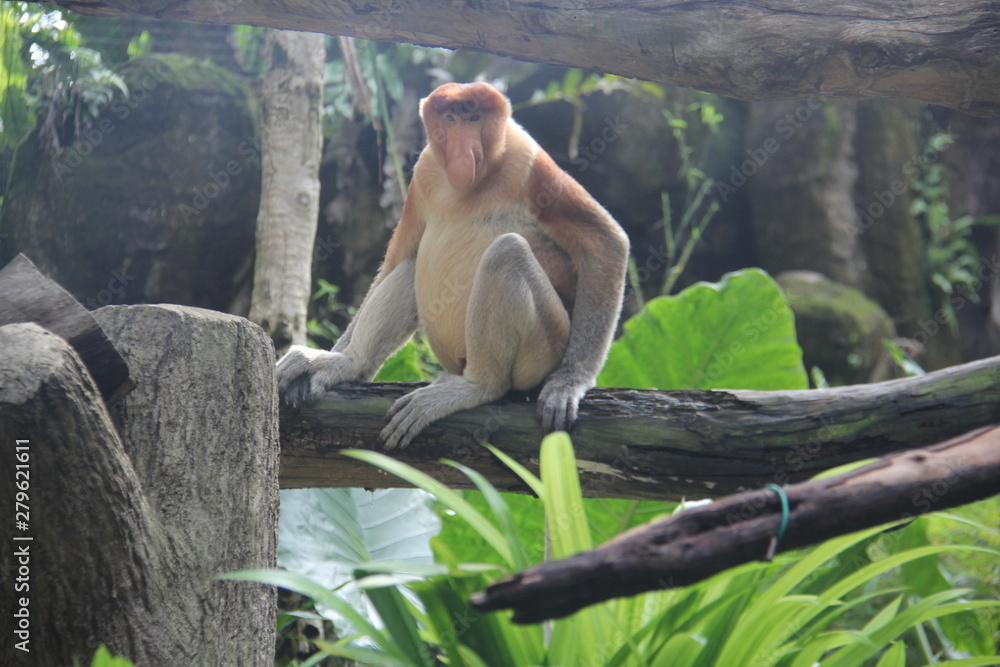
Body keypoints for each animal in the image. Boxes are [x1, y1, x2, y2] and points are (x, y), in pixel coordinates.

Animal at [277, 82, 629, 449]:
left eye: (474, 118)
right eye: (450, 119)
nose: (464, 153)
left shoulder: (529, 160)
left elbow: (605, 241)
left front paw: (570, 382)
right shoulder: (424, 171)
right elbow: (397, 259)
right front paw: (328, 359)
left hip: (548, 344)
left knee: (507, 253)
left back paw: (476, 387)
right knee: (412, 265)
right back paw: (350, 363)